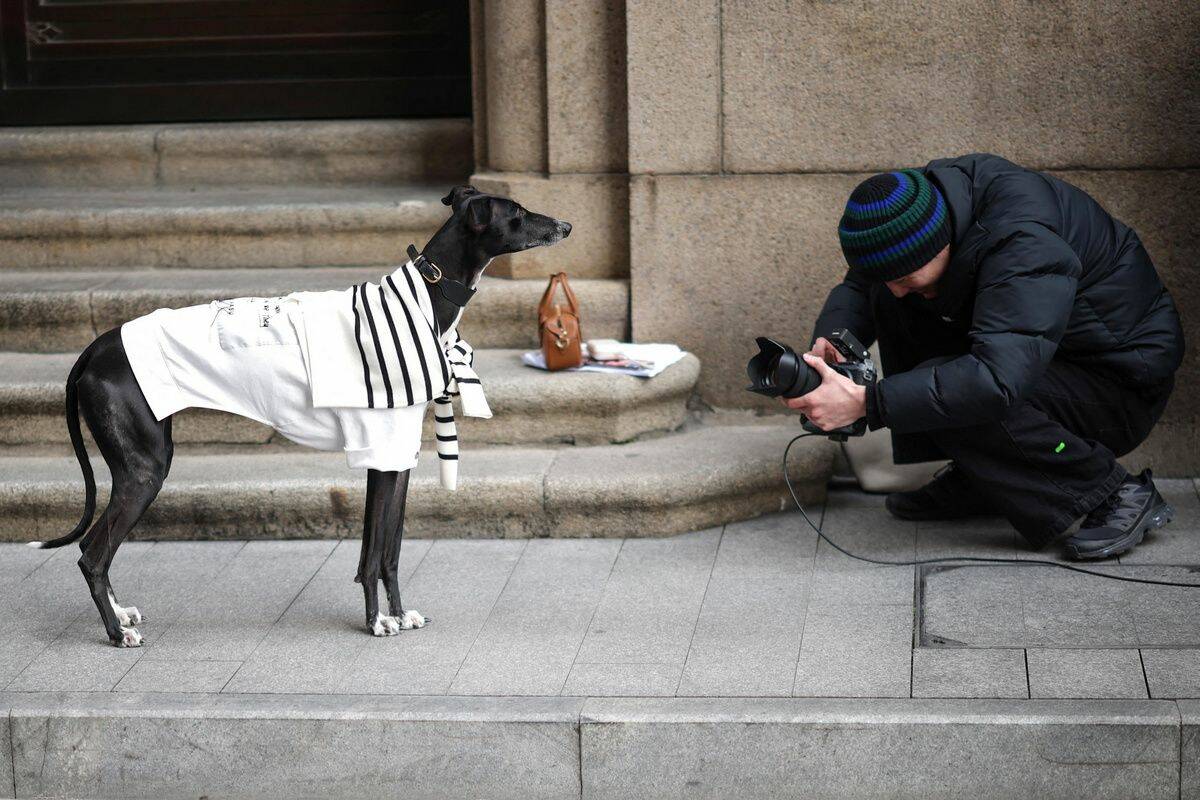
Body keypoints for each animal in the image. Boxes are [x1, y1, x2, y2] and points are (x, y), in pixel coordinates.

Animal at [28, 185, 571, 642]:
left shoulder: (395, 457)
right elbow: (374, 553)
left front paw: (398, 614)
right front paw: (377, 623)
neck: (427, 295)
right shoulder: (380, 453)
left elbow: (388, 552)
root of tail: (95, 348)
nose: (566, 226)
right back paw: (115, 633)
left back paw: (121, 616)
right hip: (145, 468)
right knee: (92, 555)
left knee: (93, 548)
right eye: (518, 213)